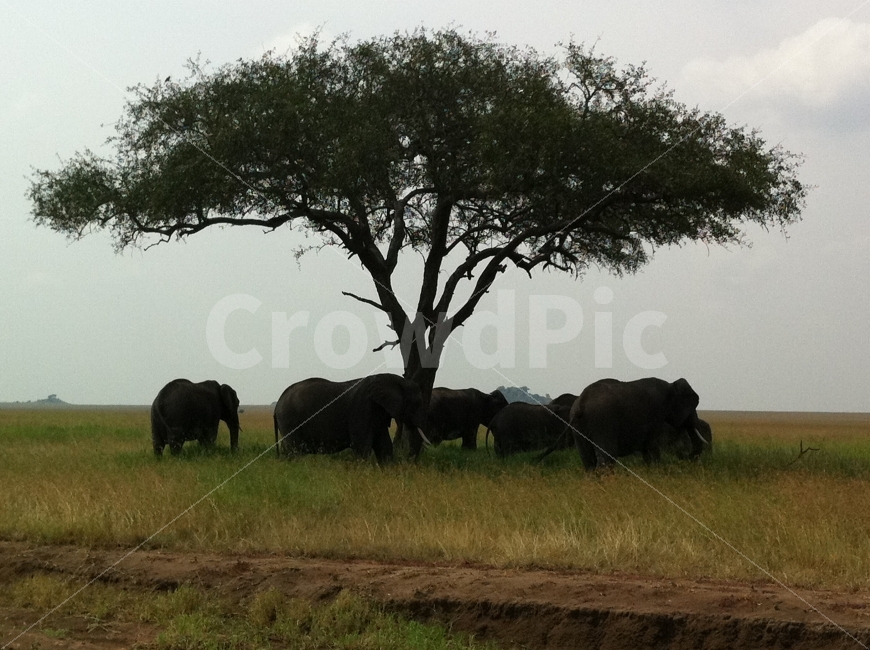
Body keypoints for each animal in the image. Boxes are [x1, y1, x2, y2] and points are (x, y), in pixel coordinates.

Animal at [273, 373, 427, 464]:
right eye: (417, 404)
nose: (410, 462)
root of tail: (277, 404)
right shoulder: (363, 408)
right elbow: (361, 445)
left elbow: (384, 444)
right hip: (290, 419)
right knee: (294, 449)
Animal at [543, 377, 708, 470]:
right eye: (692, 407)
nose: (685, 458)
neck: (670, 385)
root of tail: (581, 404)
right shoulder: (655, 414)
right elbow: (651, 445)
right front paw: (656, 472)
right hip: (603, 421)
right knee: (607, 457)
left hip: (578, 427)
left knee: (588, 460)